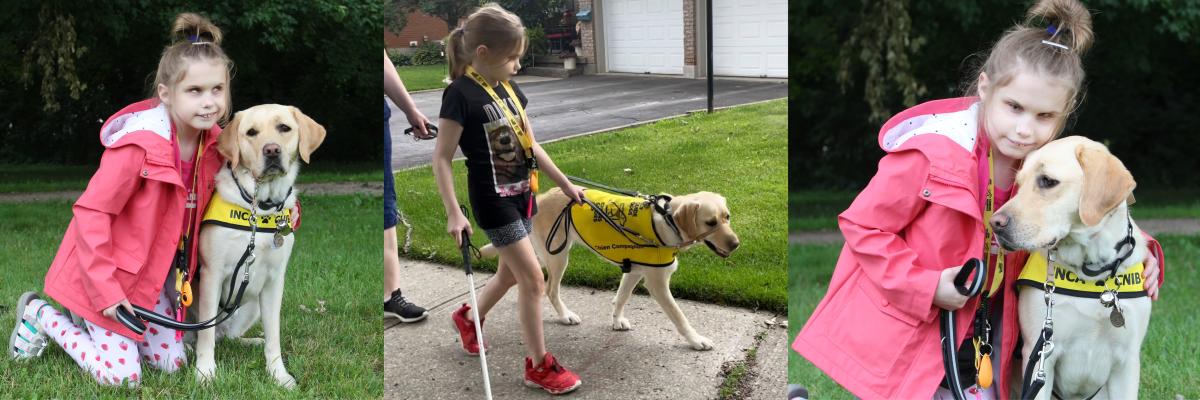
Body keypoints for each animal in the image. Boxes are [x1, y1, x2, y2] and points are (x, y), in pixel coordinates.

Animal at [198, 104, 326, 386]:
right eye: (251, 133)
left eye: (284, 128)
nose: (272, 150)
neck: (260, 209)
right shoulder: (211, 275)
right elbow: (205, 333)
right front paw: (204, 372)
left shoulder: (274, 281)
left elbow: (273, 335)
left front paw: (278, 374)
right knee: (209, 334)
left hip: (252, 306)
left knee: (228, 336)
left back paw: (251, 341)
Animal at [480, 188, 739, 348]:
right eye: (710, 223)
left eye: (727, 217)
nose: (736, 244)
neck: (667, 222)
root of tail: (542, 197)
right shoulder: (657, 284)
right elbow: (680, 317)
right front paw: (696, 340)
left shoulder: (634, 272)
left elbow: (621, 297)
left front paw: (616, 321)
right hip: (558, 257)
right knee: (550, 289)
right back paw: (565, 316)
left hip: (542, 254)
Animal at [988, 135, 1147, 396]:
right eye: (1019, 183)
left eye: (1047, 181)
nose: (995, 224)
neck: (1091, 270)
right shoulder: (1041, 354)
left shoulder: (1127, 361)